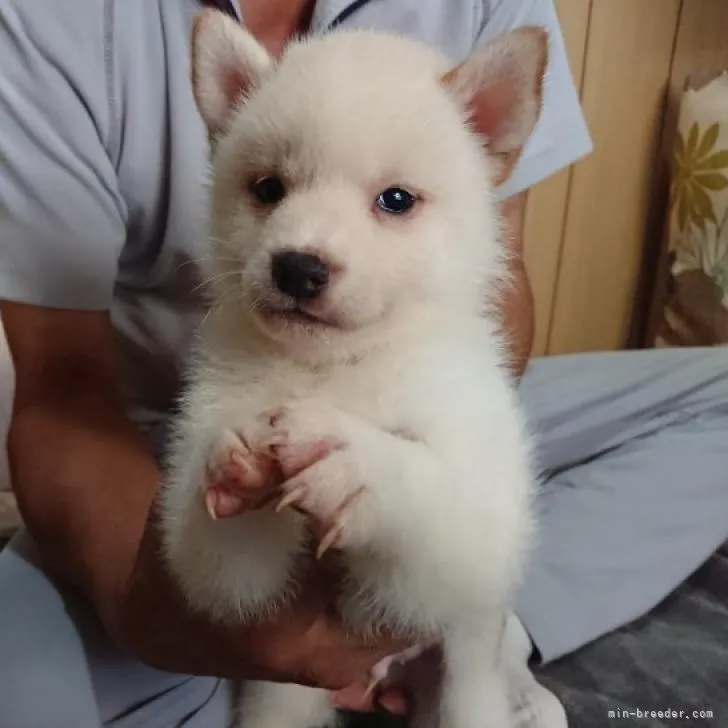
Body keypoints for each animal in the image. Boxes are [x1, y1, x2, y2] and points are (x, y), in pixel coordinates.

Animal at [161, 11, 544, 728]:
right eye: (268, 189)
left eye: (396, 200)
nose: (297, 267)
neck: (338, 370)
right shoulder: (224, 581)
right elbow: (218, 555)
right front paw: (239, 459)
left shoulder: (481, 529)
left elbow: (435, 493)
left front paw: (359, 462)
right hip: (283, 700)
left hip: (465, 690)